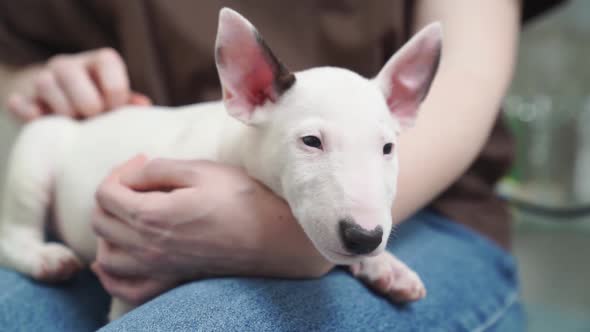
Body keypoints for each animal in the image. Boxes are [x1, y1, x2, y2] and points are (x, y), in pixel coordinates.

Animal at [0, 7, 442, 320]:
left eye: (387, 148)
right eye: (311, 142)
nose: (364, 237)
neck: (230, 149)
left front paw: (386, 266)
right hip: (34, 160)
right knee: (12, 233)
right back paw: (43, 258)